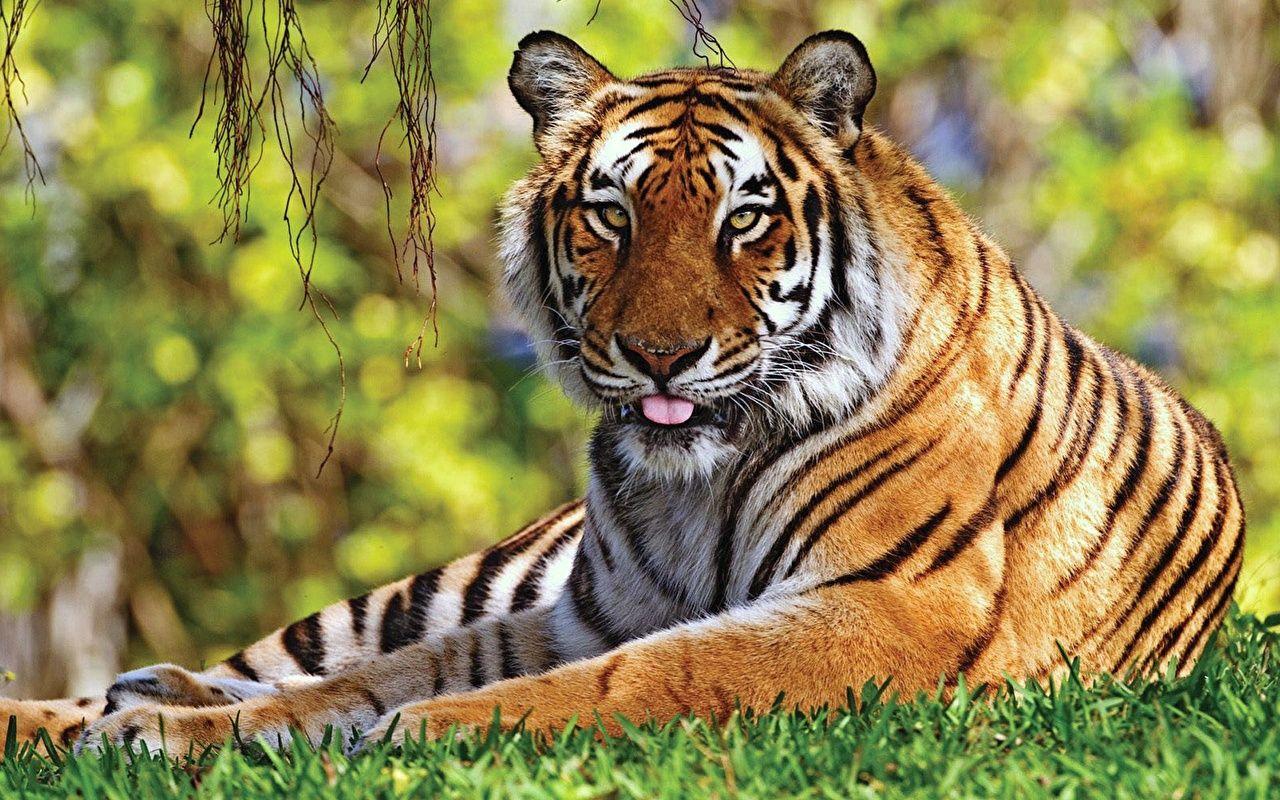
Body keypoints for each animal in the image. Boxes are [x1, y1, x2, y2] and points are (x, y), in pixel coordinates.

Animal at [1, 29, 1245, 757]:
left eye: (743, 217)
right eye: (611, 213)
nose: (658, 355)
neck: (693, 482)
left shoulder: (884, 606)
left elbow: (643, 674)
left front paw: (419, 732)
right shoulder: (579, 608)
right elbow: (370, 675)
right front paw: (168, 730)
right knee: (279, 656)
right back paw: (109, 702)